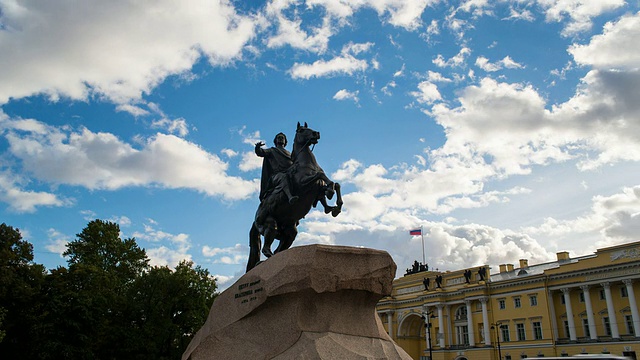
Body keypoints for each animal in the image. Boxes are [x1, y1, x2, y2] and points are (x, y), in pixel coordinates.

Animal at [246, 122, 344, 272]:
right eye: (302, 130)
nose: (316, 133)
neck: (306, 164)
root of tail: (254, 220)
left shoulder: (317, 188)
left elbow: (333, 184)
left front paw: (335, 206)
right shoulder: (303, 184)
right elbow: (320, 175)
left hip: (290, 232)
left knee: (279, 249)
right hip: (270, 224)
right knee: (266, 248)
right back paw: (266, 260)